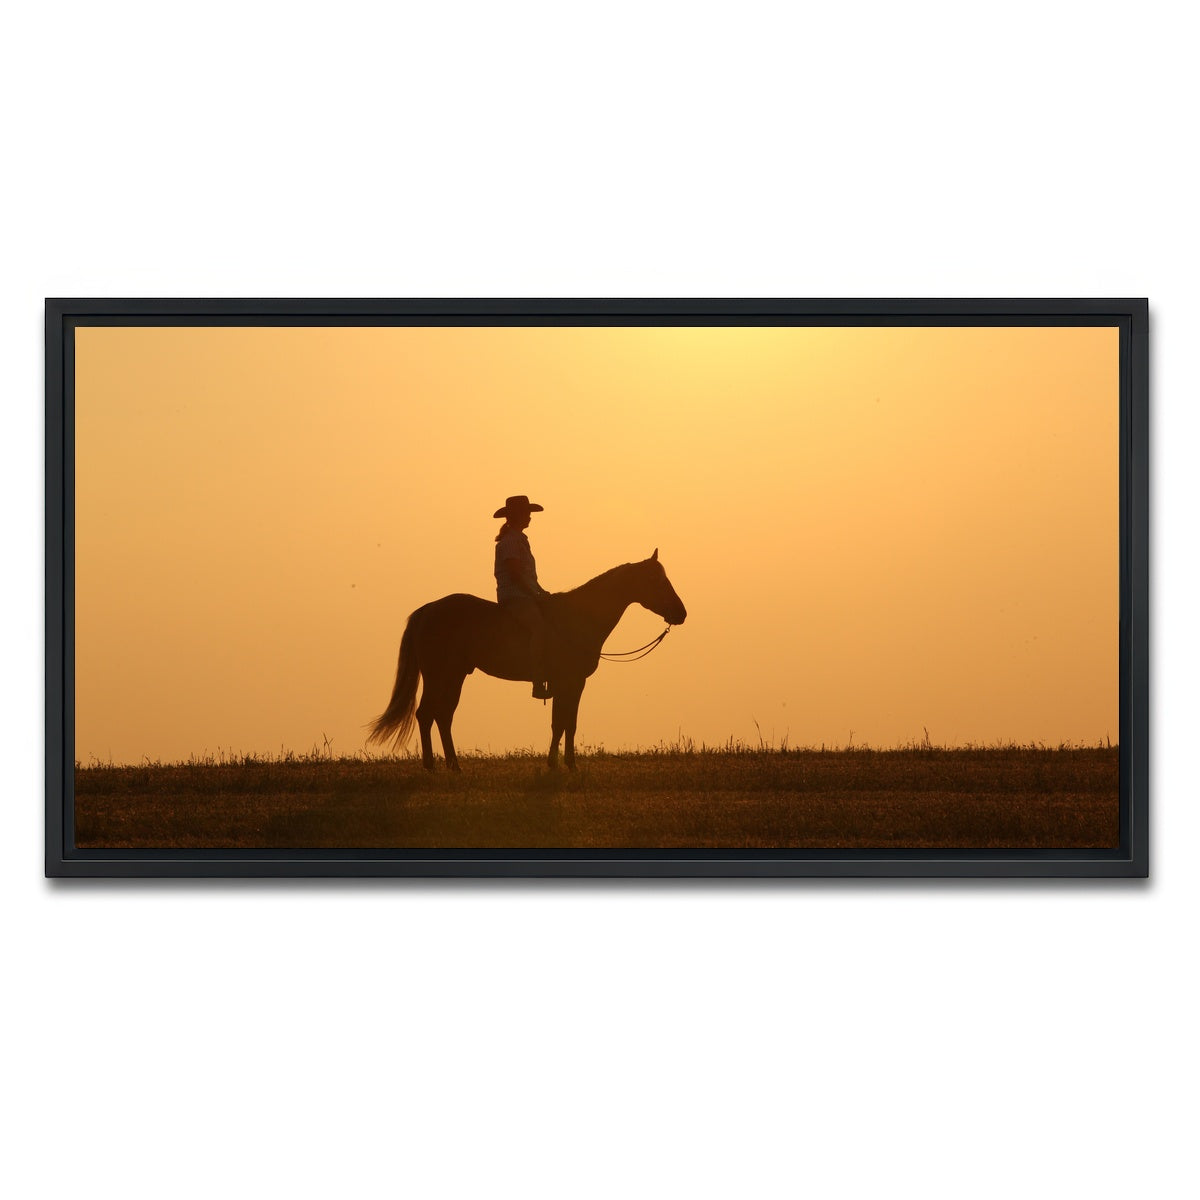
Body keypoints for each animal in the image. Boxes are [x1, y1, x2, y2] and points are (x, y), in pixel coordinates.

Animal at [367, 550, 687, 770]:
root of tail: (427, 610)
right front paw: (564, 765)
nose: (681, 613)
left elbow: (564, 723)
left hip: (454, 677)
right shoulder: (570, 682)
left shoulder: (569, 685)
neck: (578, 618)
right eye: (656, 580)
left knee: (443, 717)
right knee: (427, 714)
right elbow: (563, 723)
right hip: (440, 676)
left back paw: (454, 766)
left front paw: (560, 764)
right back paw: (433, 766)